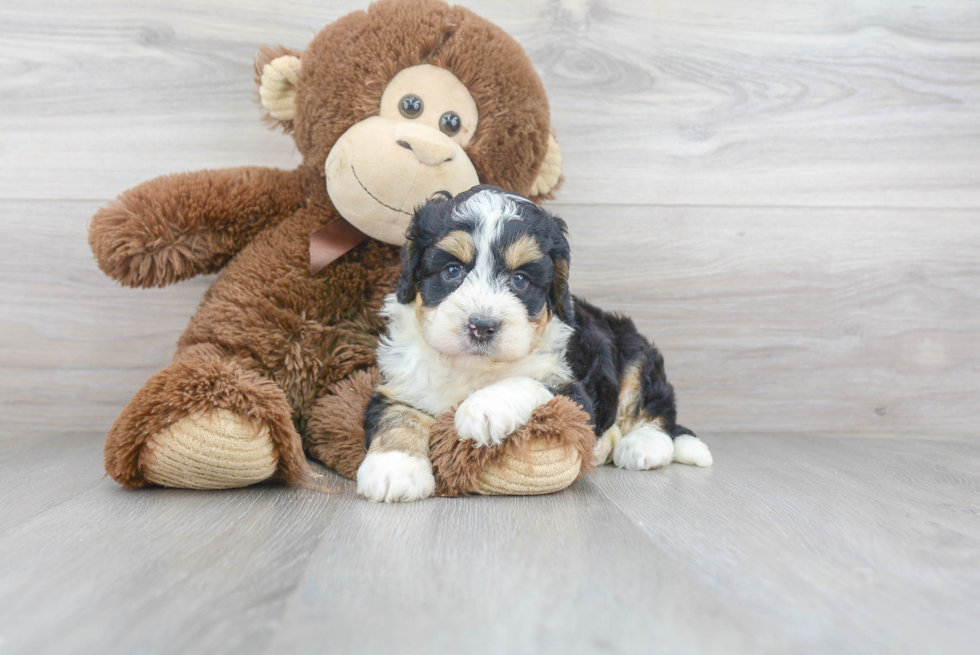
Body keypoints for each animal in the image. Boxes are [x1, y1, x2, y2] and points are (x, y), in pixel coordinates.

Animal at [356, 187, 708, 504]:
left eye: (520, 280)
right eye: (452, 270)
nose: (481, 326)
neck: (475, 366)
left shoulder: (574, 392)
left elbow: (525, 381)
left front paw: (482, 408)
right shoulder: (402, 382)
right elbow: (398, 416)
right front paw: (395, 468)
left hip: (636, 351)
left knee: (656, 404)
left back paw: (643, 445)